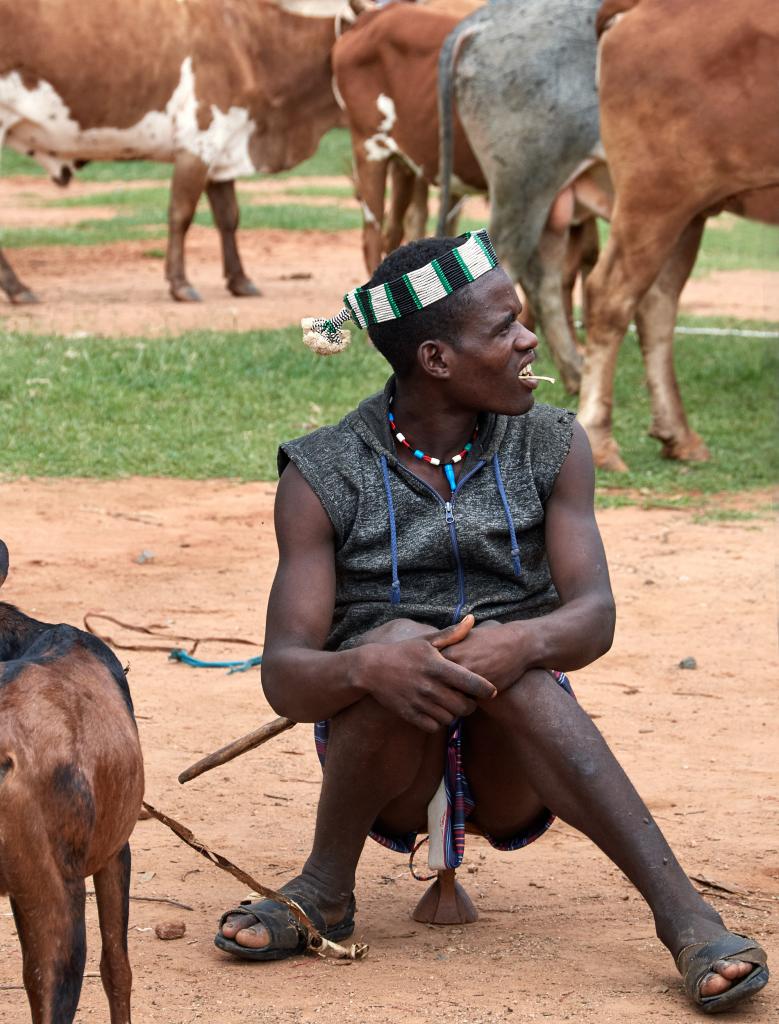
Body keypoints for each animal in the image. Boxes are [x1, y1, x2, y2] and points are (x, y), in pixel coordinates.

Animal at [0, 0, 345, 303]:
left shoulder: (222, 146)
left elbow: (228, 217)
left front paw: (240, 281)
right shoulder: (196, 144)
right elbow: (181, 214)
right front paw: (180, 284)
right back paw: (18, 289)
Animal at [577, 0, 777, 468]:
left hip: (688, 211)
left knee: (656, 304)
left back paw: (679, 435)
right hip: (655, 194)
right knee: (611, 296)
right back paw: (598, 439)